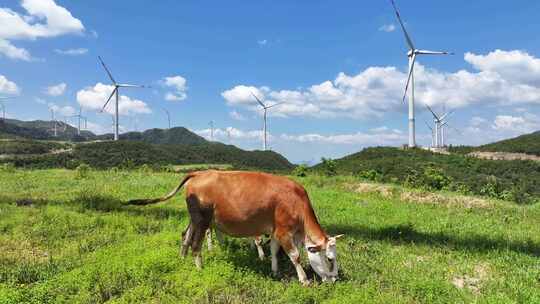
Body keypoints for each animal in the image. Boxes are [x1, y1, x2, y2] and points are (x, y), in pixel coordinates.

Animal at [127, 170, 342, 284]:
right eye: (330, 259)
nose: (334, 280)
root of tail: (199, 172)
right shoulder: (283, 231)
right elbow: (295, 256)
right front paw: (304, 280)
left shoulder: (275, 231)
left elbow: (273, 251)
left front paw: (274, 270)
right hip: (202, 219)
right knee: (196, 244)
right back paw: (200, 269)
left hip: (194, 218)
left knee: (185, 236)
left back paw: (181, 259)